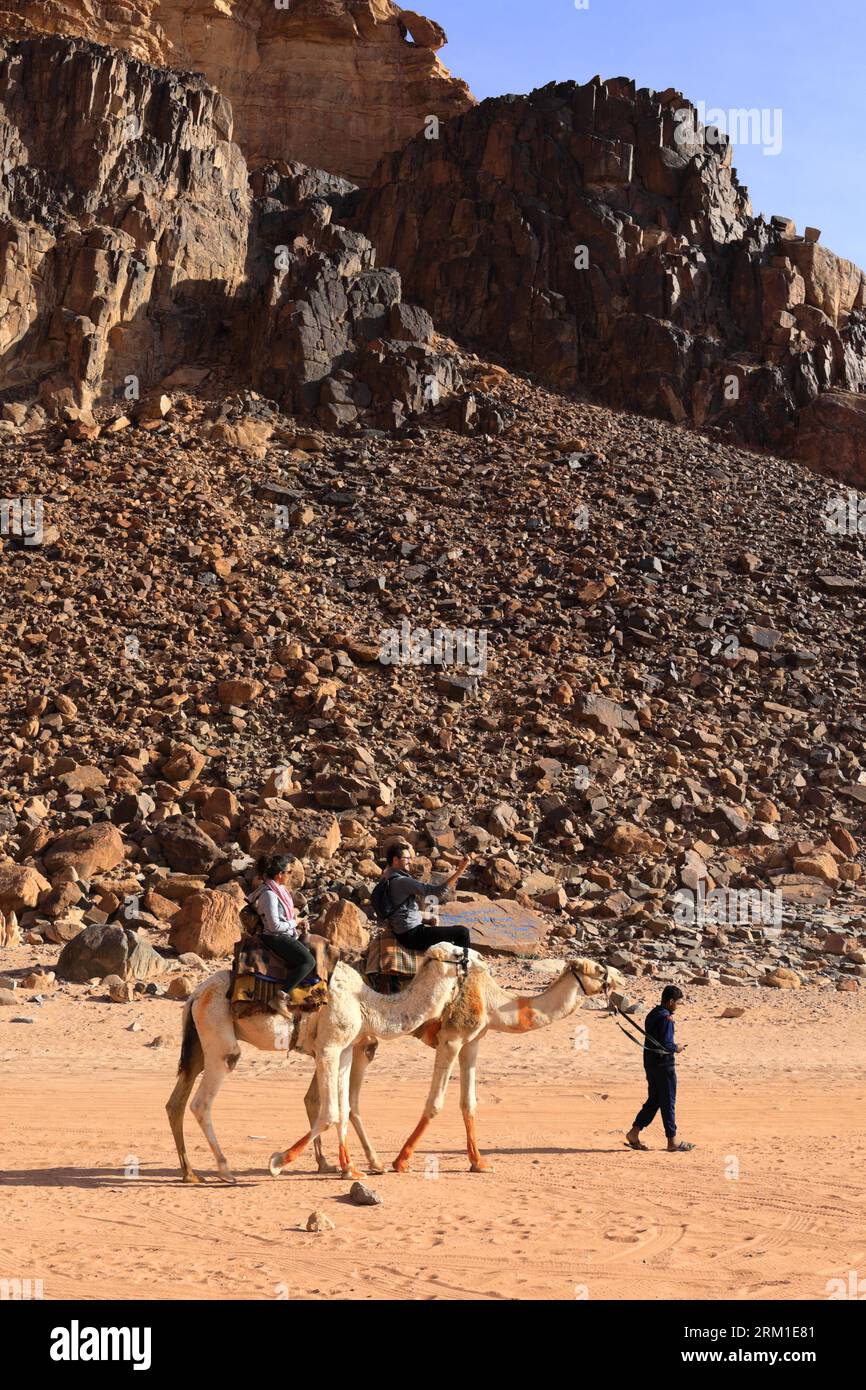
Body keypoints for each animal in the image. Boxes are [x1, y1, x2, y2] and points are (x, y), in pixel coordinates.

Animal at [166, 939, 483, 1178]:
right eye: (458, 954)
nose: (480, 958)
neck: (366, 1002)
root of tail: (196, 994)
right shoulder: (328, 1048)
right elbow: (330, 1112)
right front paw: (278, 1162)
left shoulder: (345, 1050)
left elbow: (343, 1109)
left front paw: (350, 1168)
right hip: (218, 1033)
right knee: (202, 1101)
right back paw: (224, 1170)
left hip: (197, 1044)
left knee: (176, 1102)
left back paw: (190, 1173)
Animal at [391, 956, 622, 1173]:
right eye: (599, 969)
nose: (620, 977)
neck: (491, 1002)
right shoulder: (450, 1039)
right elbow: (435, 1103)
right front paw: (401, 1162)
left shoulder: (471, 1041)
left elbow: (468, 1103)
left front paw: (479, 1164)